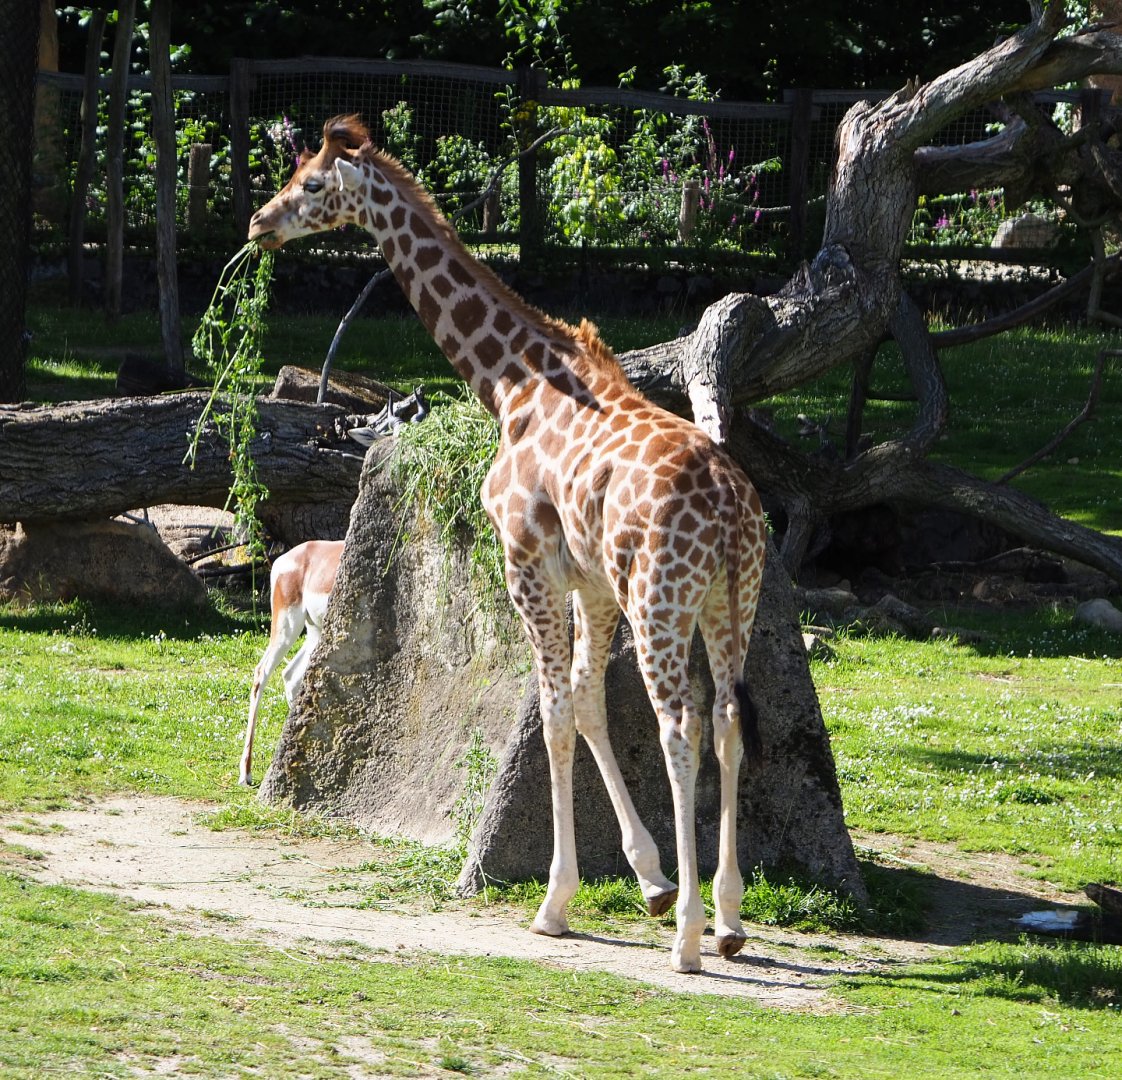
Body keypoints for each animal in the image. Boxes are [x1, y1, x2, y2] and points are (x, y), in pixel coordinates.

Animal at [248, 116, 768, 973]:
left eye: (313, 184)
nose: (261, 223)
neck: (510, 383)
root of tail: (731, 508)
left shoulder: (526, 558)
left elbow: (554, 713)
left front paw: (557, 903)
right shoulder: (590, 581)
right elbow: (585, 701)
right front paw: (649, 879)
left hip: (662, 600)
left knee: (681, 727)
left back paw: (690, 939)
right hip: (732, 600)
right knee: (726, 720)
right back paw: (726, 919)